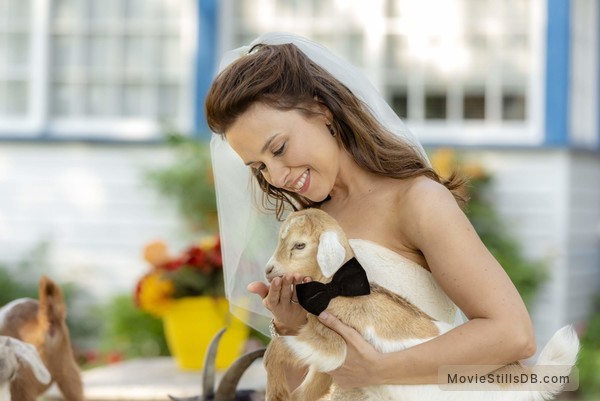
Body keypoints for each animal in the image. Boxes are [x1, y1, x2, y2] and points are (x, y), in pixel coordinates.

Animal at [264, 208, 580, 400]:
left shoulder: (335, 346)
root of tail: (524, 378)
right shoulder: (327, 366)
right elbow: (307, 387)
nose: (269, 270)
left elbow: (280, 347)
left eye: (300, 245)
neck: (335, 286)